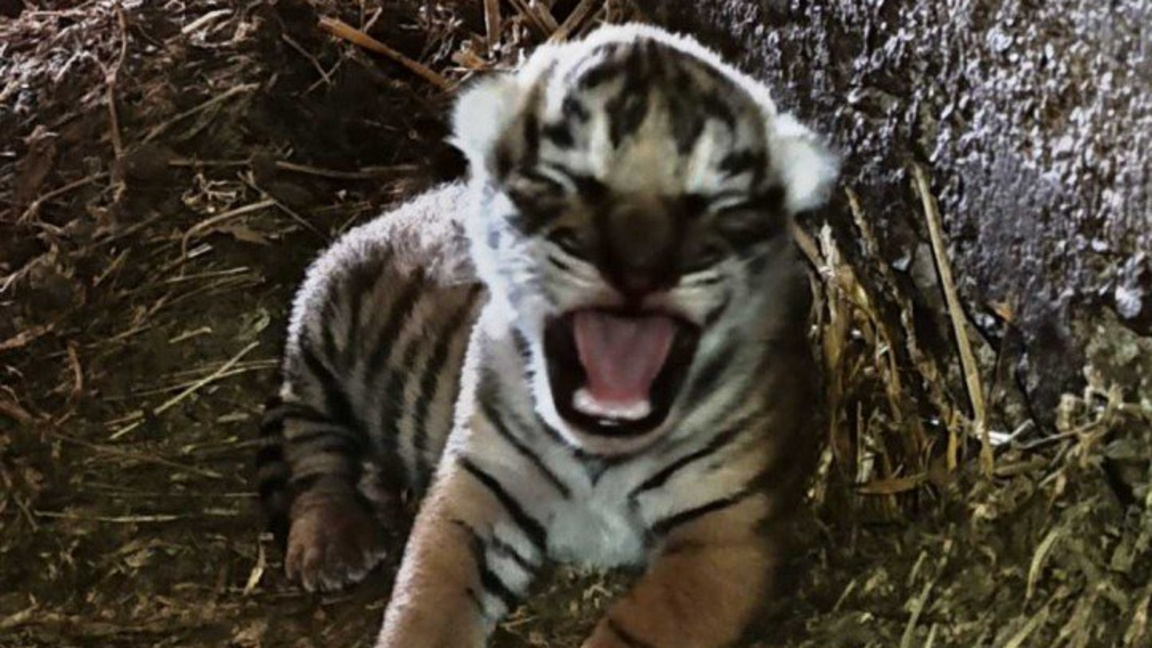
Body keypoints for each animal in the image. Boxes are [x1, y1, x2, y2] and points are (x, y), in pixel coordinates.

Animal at [256, 23, 838, 648]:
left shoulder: (725, 531)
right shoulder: (477, 485)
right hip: (318, 328)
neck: (602, 452)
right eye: (564, 181)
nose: (638, 266)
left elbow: (641, 628)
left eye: (715, 201)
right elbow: (428, 602)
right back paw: (331, 541)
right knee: (308, 439)